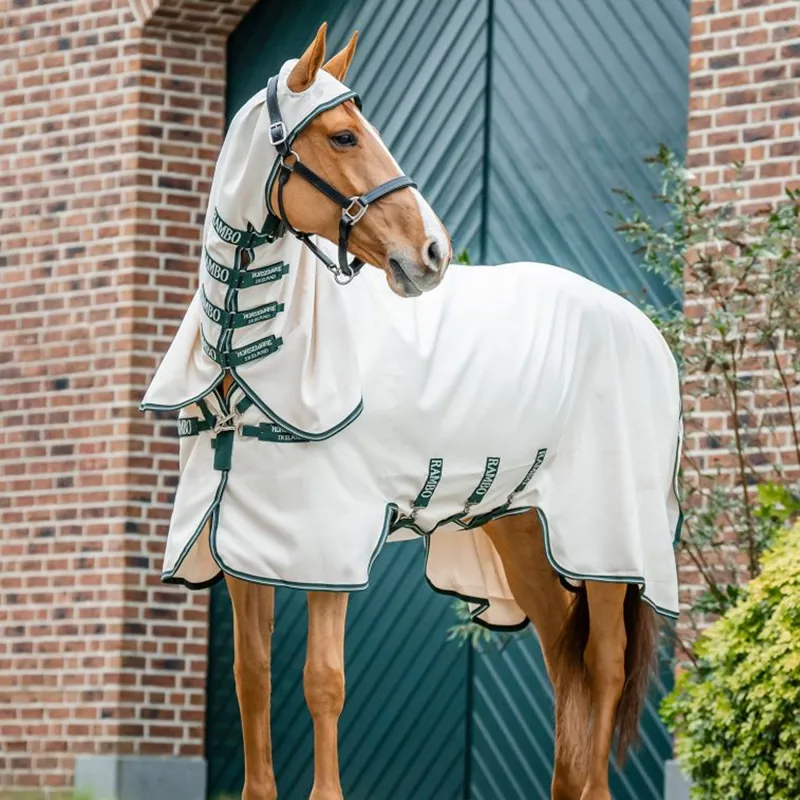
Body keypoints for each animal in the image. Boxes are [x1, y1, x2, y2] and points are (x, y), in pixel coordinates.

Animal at [141, 23, 682, 800]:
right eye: (341, 135)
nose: (432, 253)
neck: (249, 355)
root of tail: (641, 327)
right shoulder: (244, 545)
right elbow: (252, 679)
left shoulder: (325, 542)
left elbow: (323, 681)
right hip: (522, 528)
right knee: (564, 661)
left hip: (609, 545)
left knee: (603, 666)